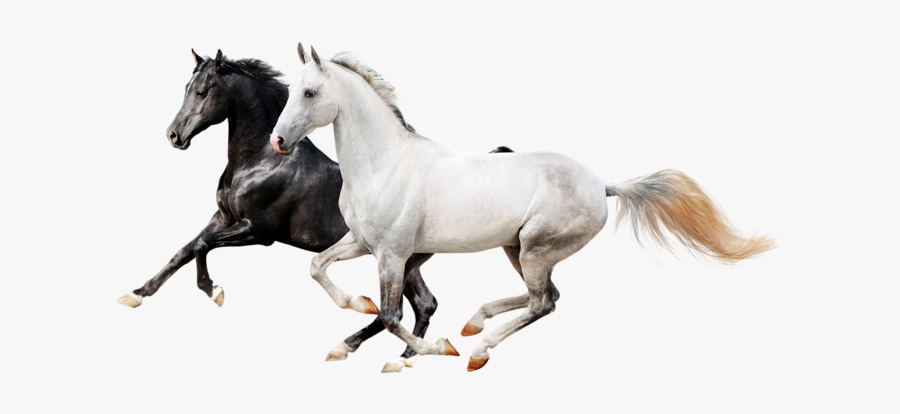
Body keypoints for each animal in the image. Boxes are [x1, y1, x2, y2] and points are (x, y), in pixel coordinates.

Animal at [117, 49, 515, 372]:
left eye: (203, 91)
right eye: (186, 87)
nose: (174, 136)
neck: (260, 159)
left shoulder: (258, 231)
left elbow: (202, 247)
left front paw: (214, 291)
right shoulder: (223, 217)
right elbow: (183, 250)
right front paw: (136, 294)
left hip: (397, 259)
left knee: (403, 309)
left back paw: (354, 343)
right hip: (407, 261)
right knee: (424, 304)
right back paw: (402, 358)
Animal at [270, 44, 775, 372]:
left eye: (310, 93)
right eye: (290, 90)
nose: (277, 141)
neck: (386, 163)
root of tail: (601, 185)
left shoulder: (392, 254)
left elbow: (392, 317)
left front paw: (422, 352)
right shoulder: (362, 242)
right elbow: (317, 267)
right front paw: (354, 307)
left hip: (536, 250)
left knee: (542, 302)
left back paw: (478, 349)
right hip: (517, 249)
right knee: (548, 297)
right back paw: (474, 324)